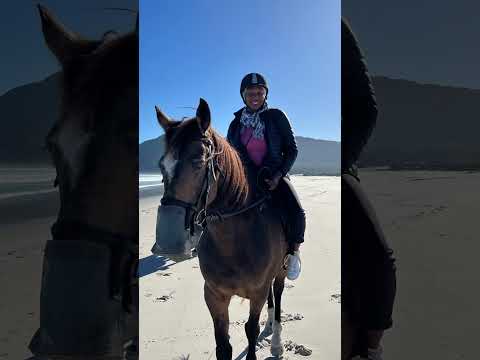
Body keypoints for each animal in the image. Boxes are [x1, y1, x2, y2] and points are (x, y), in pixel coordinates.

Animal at [156, 99, 286, 360]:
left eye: (198, 162)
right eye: (161, 165)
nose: (167, 242)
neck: (233, 242)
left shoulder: (257, 292)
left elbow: (250, 329)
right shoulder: (214, 295)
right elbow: (222, 345)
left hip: (281, 271)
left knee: (276, 294)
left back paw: (276, 341)